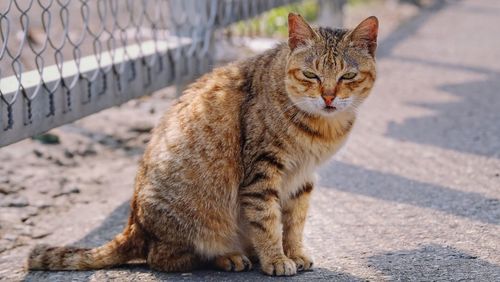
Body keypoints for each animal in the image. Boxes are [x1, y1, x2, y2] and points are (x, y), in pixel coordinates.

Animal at [27, 12, 376, 276]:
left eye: (347, 76)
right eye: (310, 75)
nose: (328, 97)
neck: (321, 129)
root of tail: (134, 224)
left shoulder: (303, 177)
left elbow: (295, 221)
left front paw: (293, 252)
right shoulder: (262, 172)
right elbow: (267, 220)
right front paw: (276, 259)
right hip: (194, 219)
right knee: (162, 257)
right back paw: (227, 257)